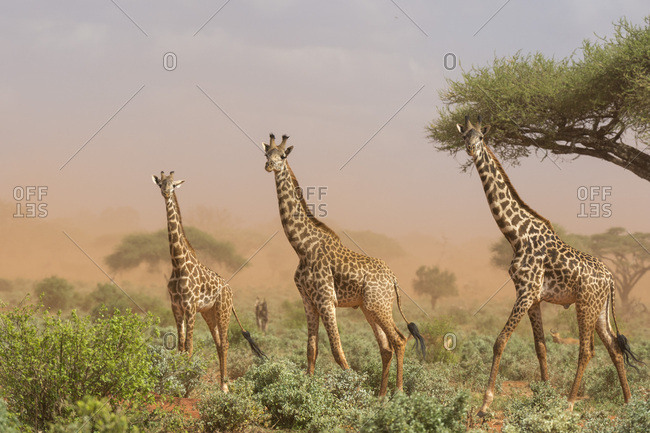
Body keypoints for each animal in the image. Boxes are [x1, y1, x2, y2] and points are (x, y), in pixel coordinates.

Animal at [152, 171, 265, 392]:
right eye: (161, 183)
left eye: (173, 184)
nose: (166, 193)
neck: (177, 263)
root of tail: (230, 289)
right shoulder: (176, 307)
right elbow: (180, 345)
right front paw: (178, 381)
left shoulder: (189, 307)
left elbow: (189, 345)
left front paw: (187, 381)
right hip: (209, 313)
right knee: (219, 343)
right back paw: (221, 385)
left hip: (223, 310)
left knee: (226, 342)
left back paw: (225, 387)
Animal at [263, 133, 425, 396]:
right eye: (266, 154)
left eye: (283, 156)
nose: (269, 166)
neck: (302, 247)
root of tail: (394, 279)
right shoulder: (308, 301)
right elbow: (311, 349)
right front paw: (307, 389)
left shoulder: (326, 300)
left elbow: (337, 350)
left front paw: (354, 389)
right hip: (370, 309)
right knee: (386, 347)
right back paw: (381, 396)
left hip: (379, 305)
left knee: (399, 339)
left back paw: (398, 393)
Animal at [456, 116, 643, 415]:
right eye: (465, 136)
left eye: (481, 138)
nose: (472, 149)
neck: (515, 235)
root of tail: (611, 278)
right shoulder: (533, 297)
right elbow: (541, 346)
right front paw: (543, 396)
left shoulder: (526, 291)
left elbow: (499, 341)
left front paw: (485, 404)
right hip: (600, 309)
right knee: (614, 346)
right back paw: (628, 402)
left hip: (585, 304)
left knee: (587, 350)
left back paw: (570, 403)